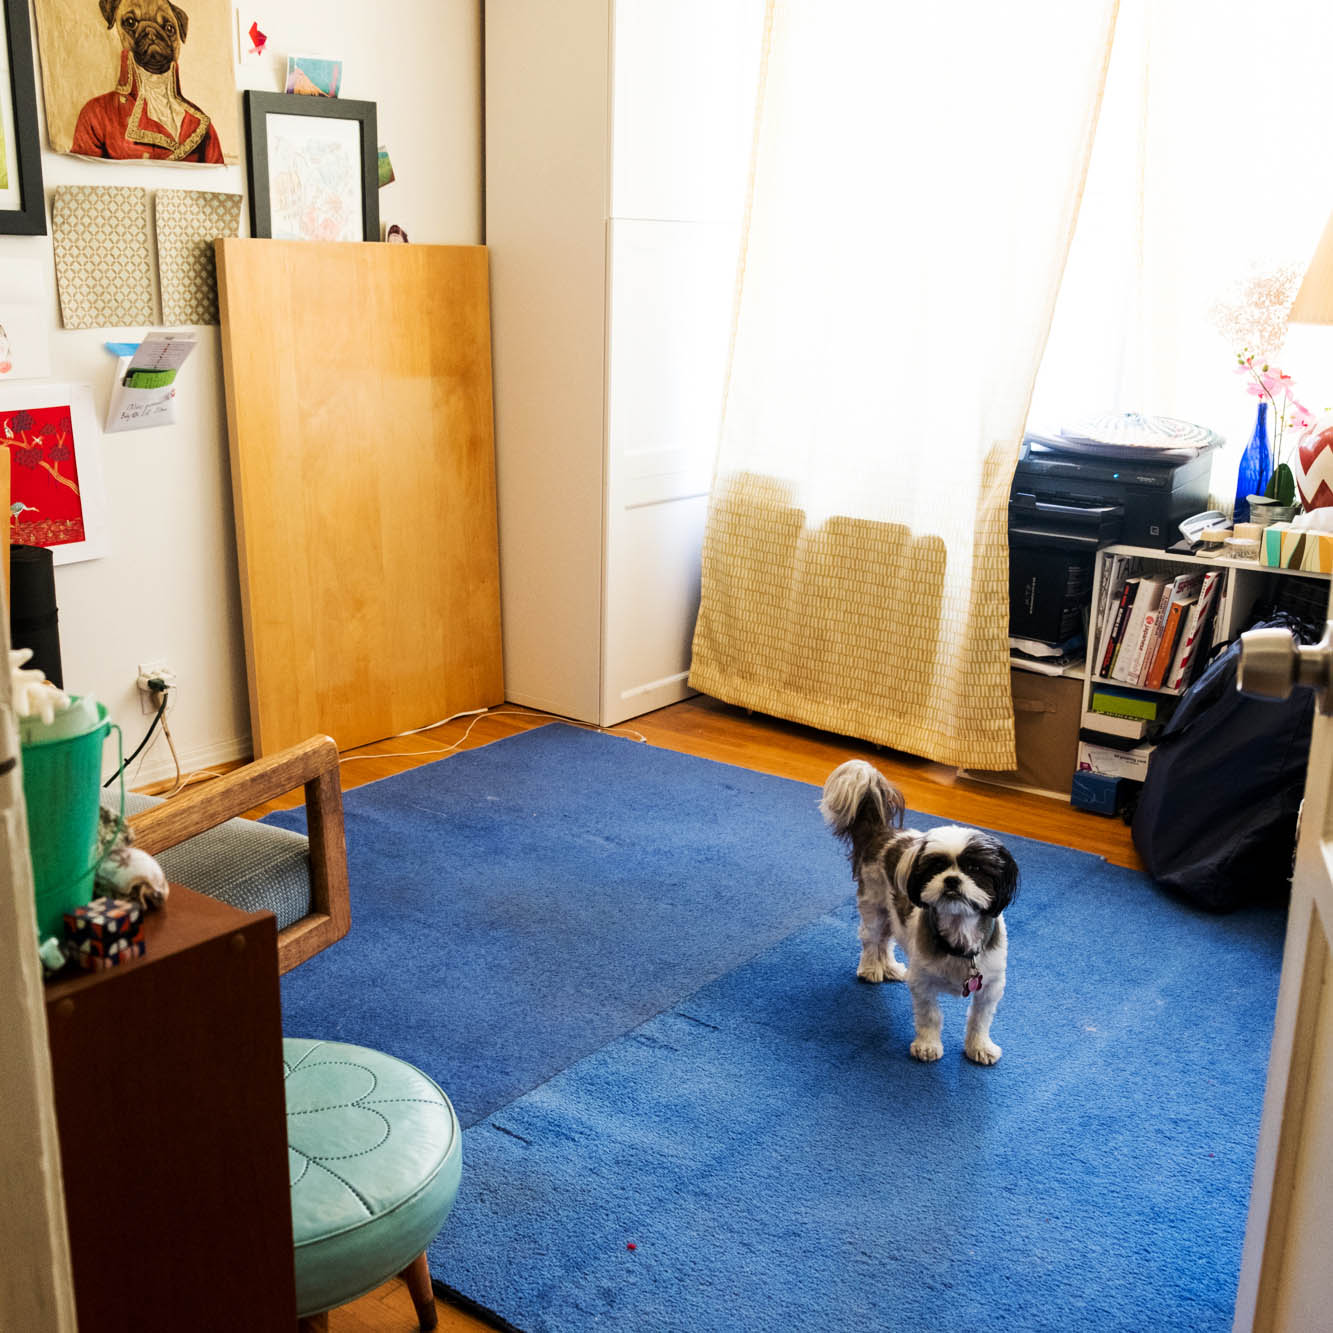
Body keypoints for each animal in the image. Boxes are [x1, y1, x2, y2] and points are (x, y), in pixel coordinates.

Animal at [820, 759, 1017, 1065]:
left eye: (975, 868)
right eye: (936, 867)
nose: (952, 880)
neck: (959, 936)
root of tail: (883, 833)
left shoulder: (991, 984)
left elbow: (980, 1020)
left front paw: (979, 1047)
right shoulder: (923, 982)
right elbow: (930, 1016)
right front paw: (927, 1046)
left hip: (893, 913)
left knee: (886, 940)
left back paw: (889, 967)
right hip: (874, 905)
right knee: (871, 939)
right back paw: (870, 968)